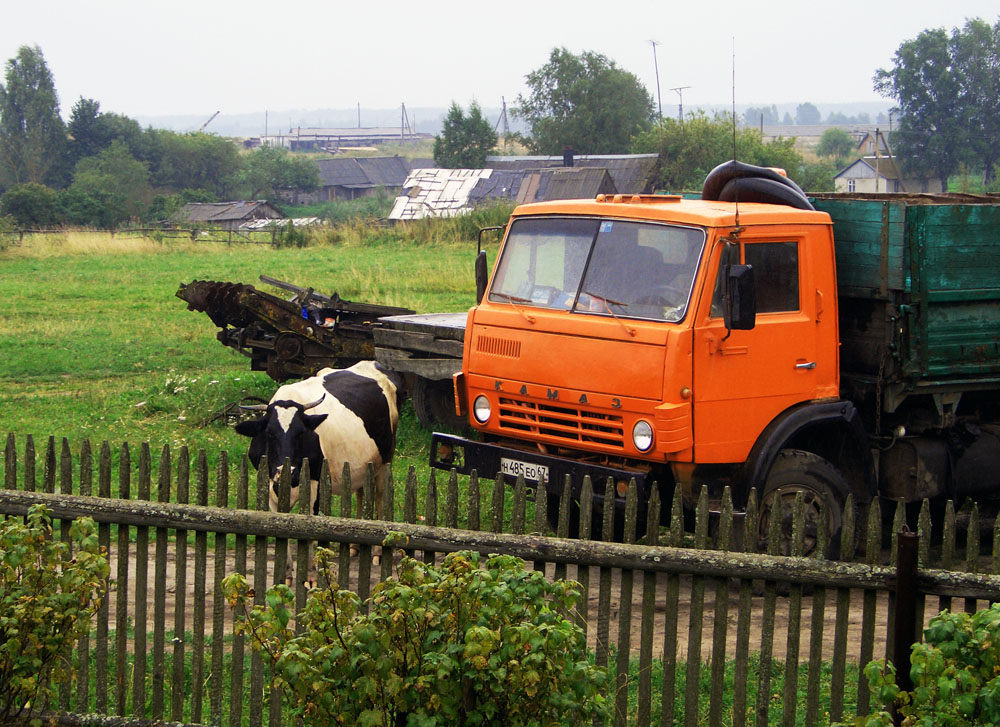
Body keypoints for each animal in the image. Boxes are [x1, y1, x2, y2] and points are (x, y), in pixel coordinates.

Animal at [236, 362, 400, 584]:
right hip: (362, 465)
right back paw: (355, 547)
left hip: (386, 460)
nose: (290, 473)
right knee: (361, 493)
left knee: (381, 498)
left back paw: (377, 553)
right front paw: (286, 575)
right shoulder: (271, 485)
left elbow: (311, 530)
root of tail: (371, 364)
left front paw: (312, 576)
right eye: (269, 434)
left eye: (301, 433)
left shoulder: (316, 483)